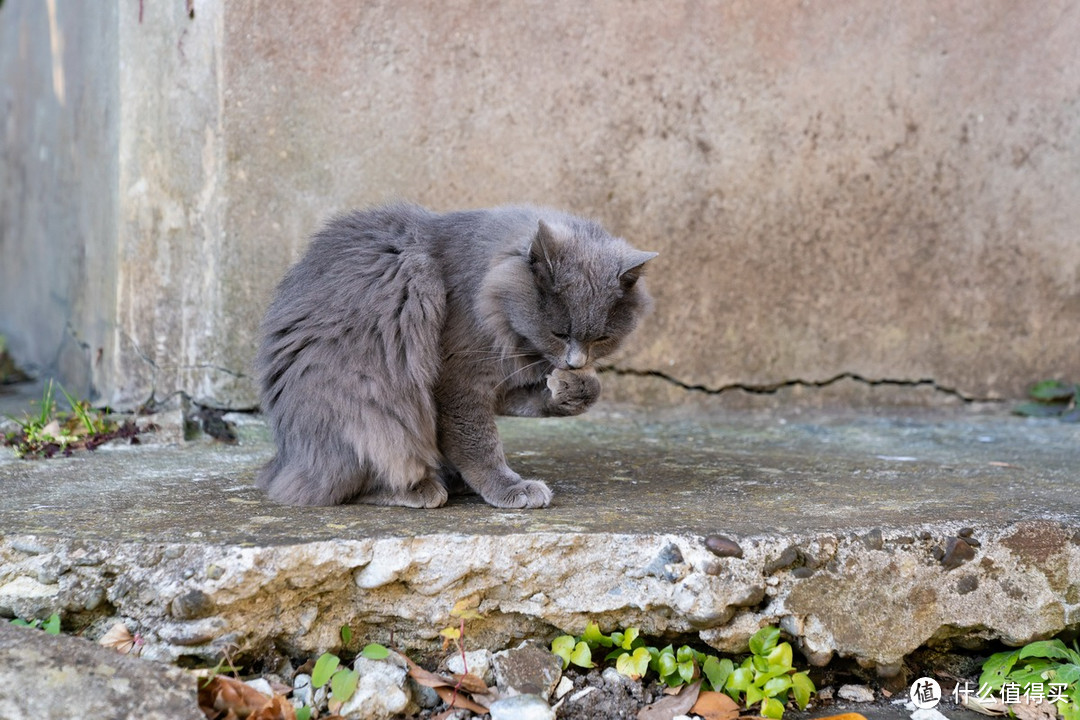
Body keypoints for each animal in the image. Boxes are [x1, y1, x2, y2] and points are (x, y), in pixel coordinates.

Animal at [257, 201, 652, 507]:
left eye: (601, 338)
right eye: (559, 333)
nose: (575, 362)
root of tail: (285, 460)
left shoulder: (501, 380)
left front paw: (573, 389)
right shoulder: (459, 378)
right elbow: (478, 441)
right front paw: (509, 488)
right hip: (367, 404)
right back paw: (422, 489)